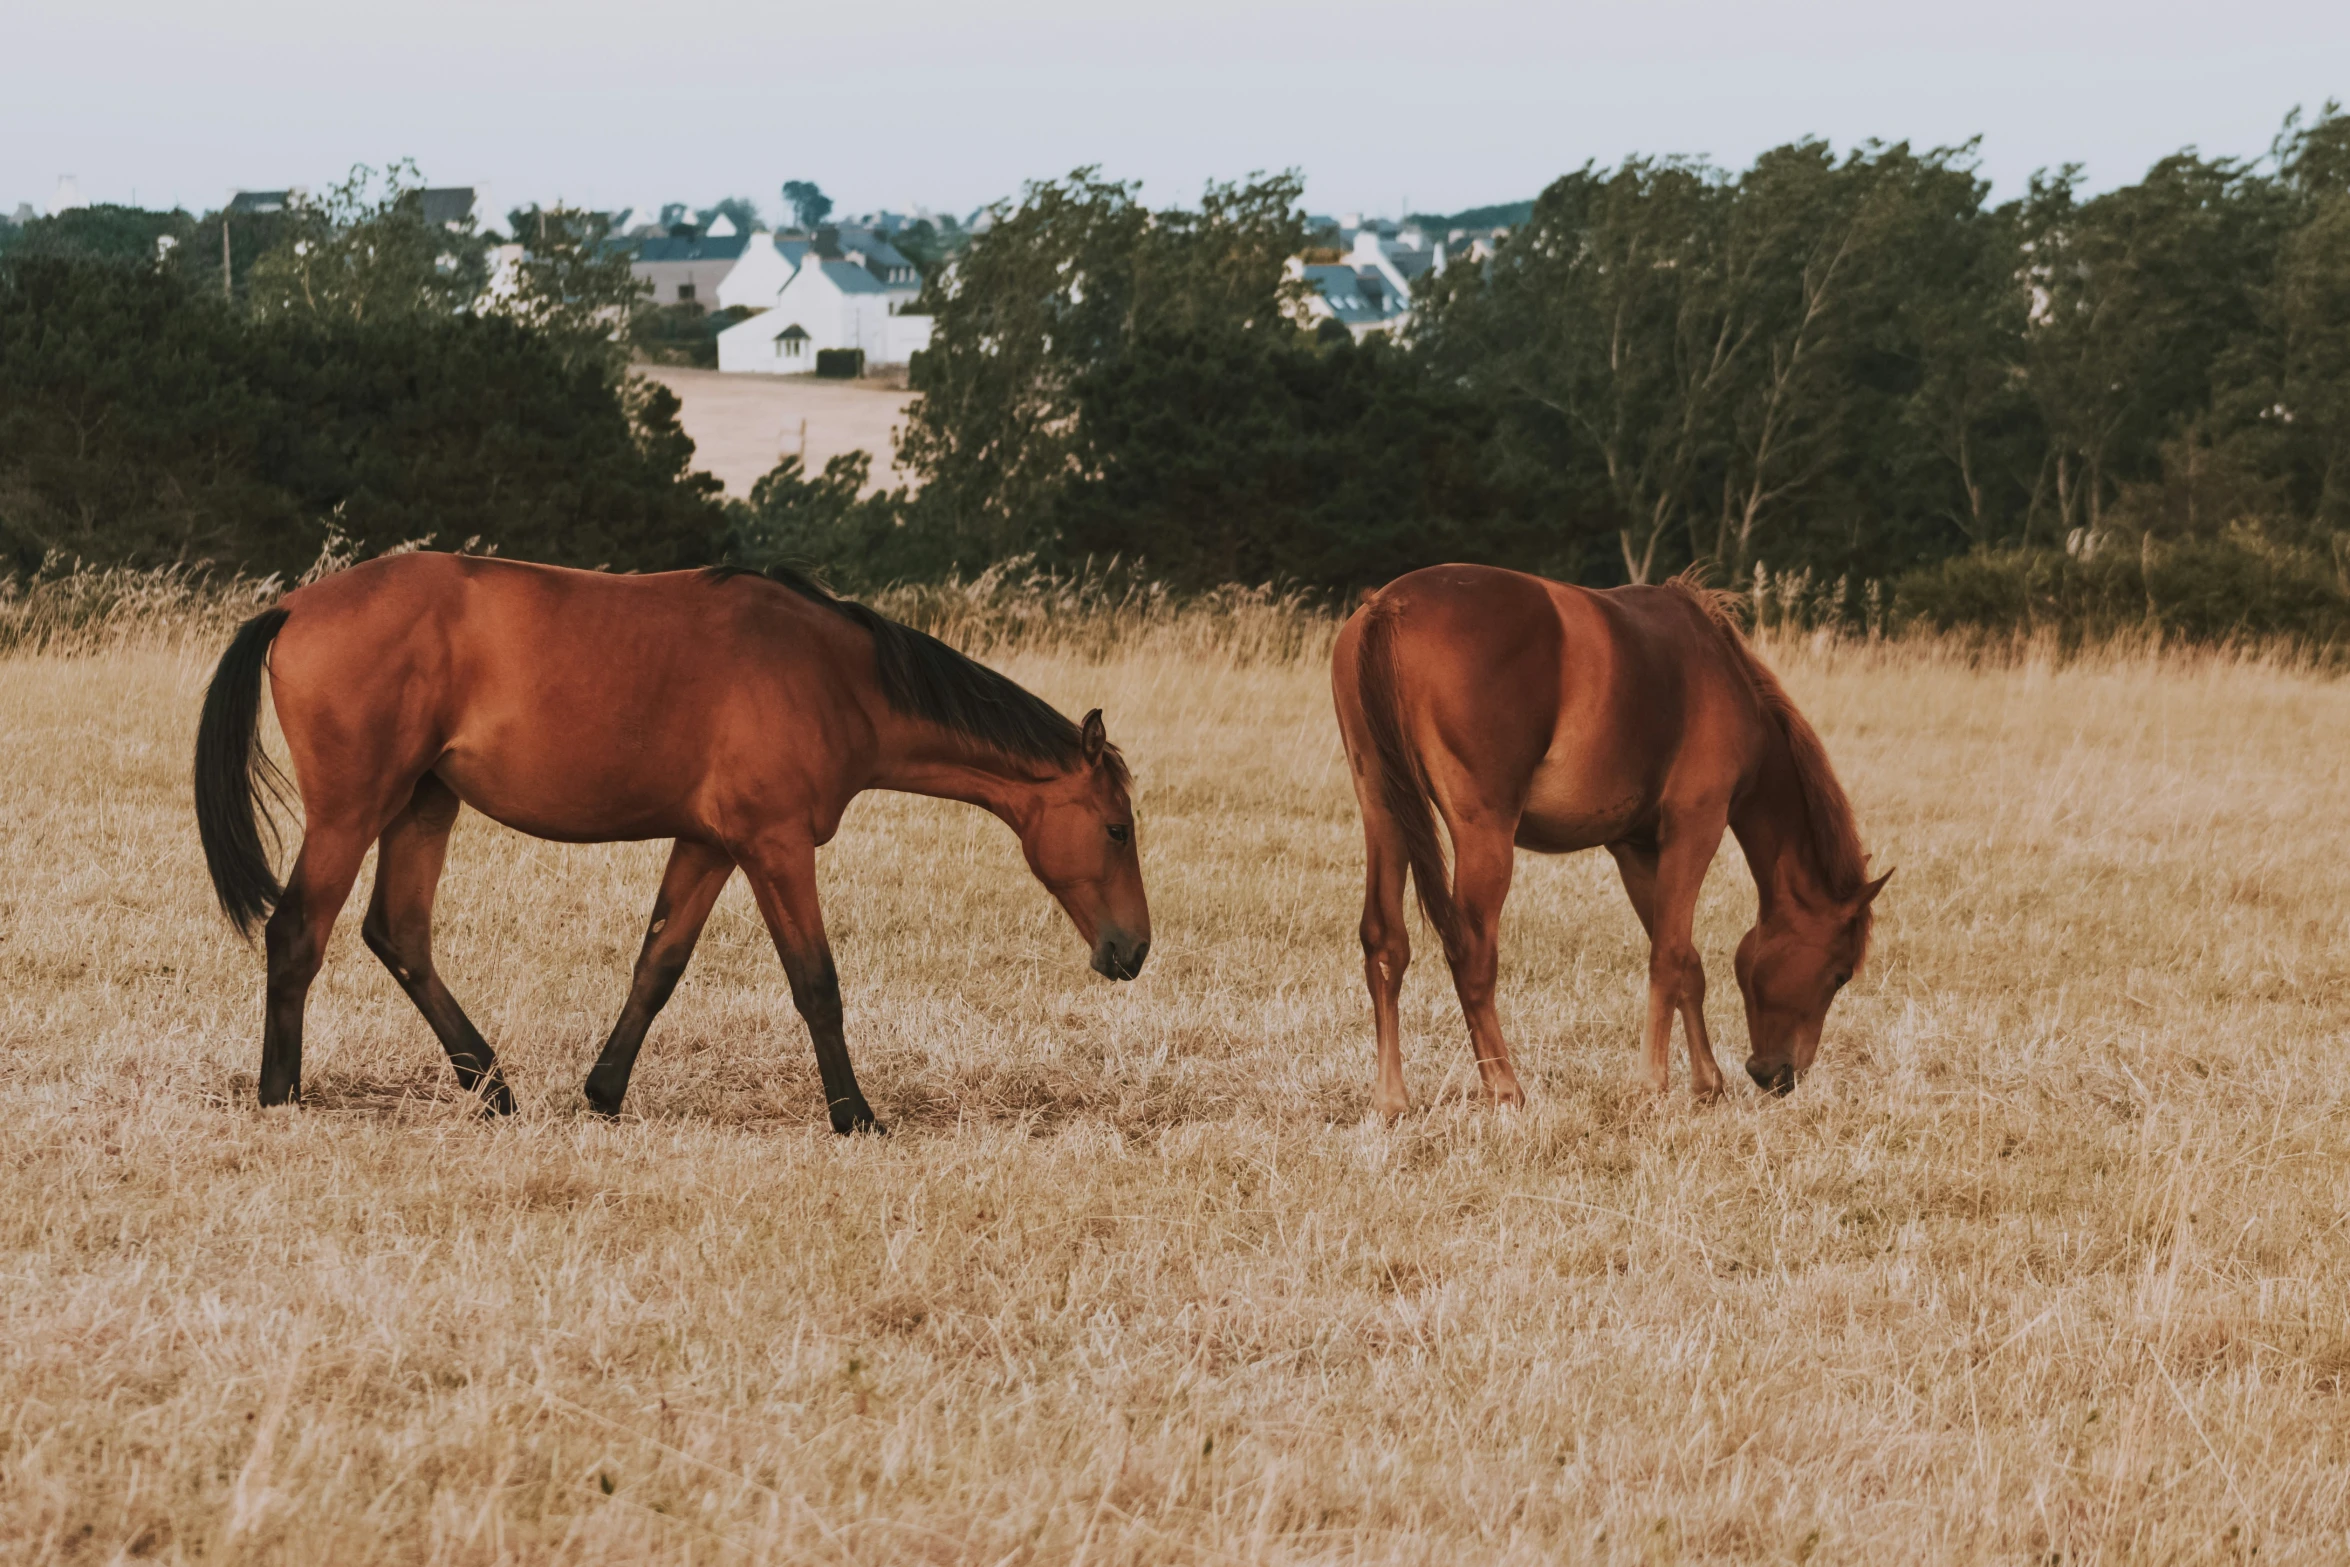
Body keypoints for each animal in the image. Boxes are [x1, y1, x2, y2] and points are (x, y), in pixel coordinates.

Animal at [197, 552, 1151, 1127]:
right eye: (1116, 827)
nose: (1133, 949)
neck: (833, 676)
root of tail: (292, 606)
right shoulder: (775, 848)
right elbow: (817, 984)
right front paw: (856, 1115)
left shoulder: (709, 845)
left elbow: (657, 967)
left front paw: (604, 1091)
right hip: (353, 812)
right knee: (299, 933)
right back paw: (281, 1095)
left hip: (424, 805)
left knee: (397, 934)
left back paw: (494, 1088)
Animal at [1334, 563, 1879, 1113]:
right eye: (1839, 973)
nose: (1780, 1075)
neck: (1721, 674)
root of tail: (1389, 606)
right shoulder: (1695, 829)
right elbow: (1669, 958)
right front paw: (1652, 1084)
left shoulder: (1635, 850)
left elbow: (1688, 966)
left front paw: (1707, 1081)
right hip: (1484, 833)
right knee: (1472, 954)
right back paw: (1506, 1086)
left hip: (1384, 810)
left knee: (1385, 943)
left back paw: (1392, 1098)